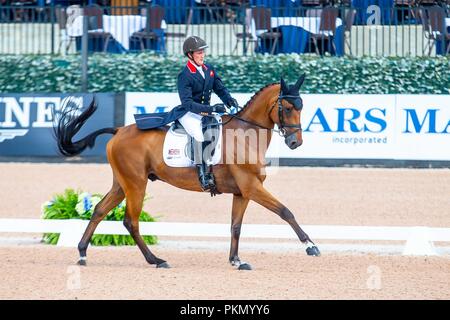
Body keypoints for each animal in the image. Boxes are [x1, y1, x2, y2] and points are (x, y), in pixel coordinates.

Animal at [53, 75, 320, 270]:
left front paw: (236, 260)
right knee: (131, 221)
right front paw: (310, 245)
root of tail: (119, 130)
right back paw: (156, 260)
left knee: (99, 210)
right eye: (287, 107)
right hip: (136, 184)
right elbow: (285, 211)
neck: (246, 135)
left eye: (301, 107)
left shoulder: (242, 192)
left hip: (122, 184)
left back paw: (82, 253)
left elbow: (235, 226)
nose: (295, 143)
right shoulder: (252, 187)